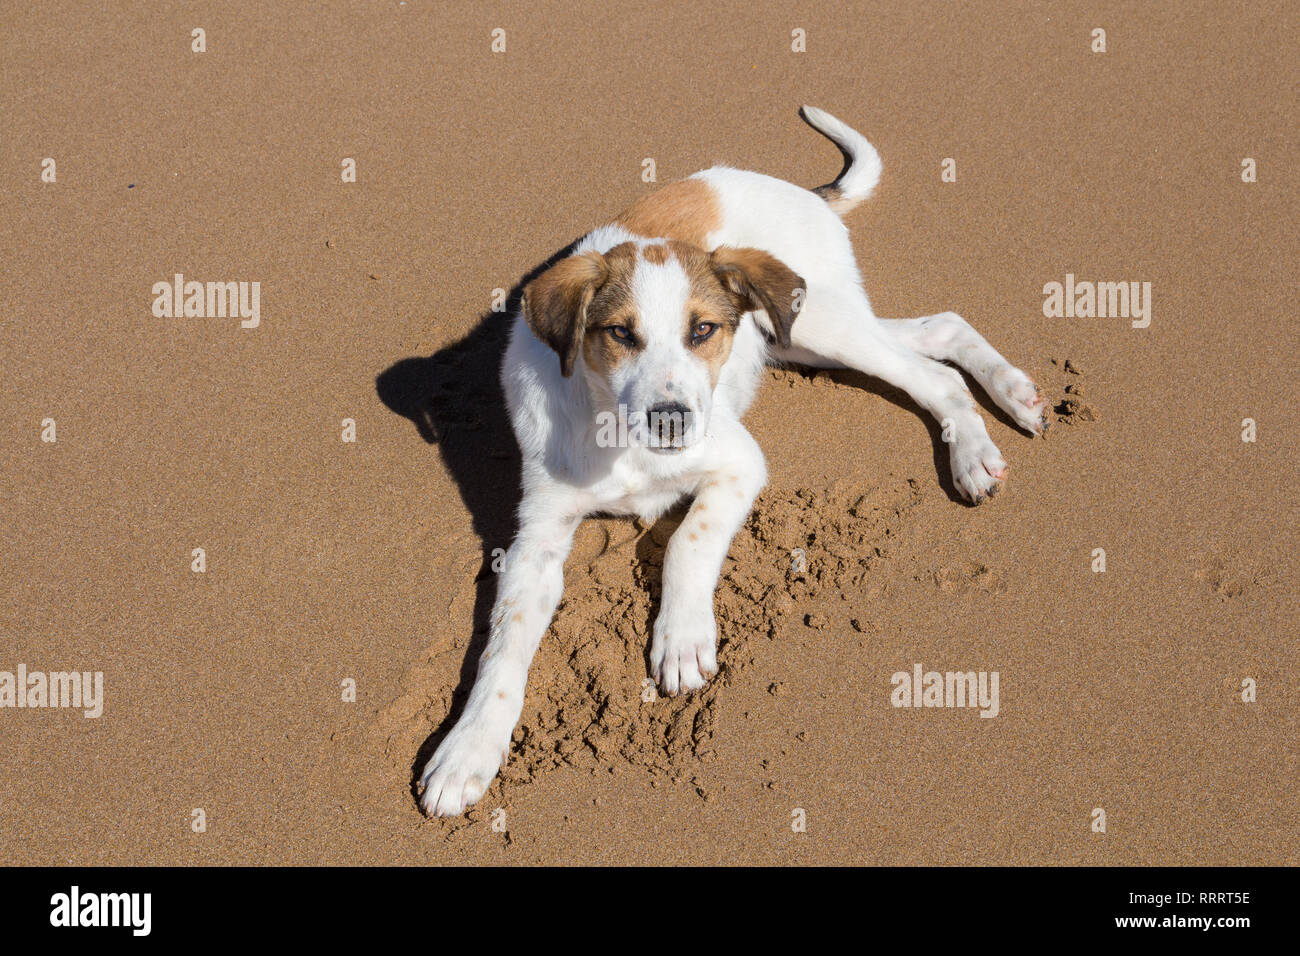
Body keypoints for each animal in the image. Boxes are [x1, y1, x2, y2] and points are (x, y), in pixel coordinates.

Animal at [416, 110, 1045, 816]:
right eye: (620, 334)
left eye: (703, 331)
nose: (671, 420)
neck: (619, 437)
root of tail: (799, 190)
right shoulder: (538, 536)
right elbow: (503, 647)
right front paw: (467, 750)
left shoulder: (740, 463)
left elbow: (687, 539)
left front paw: (682, 639)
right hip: (799, 335)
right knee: (939, 327)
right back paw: (1012, 394)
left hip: (818, 323)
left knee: (931, 373)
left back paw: (976, 449)